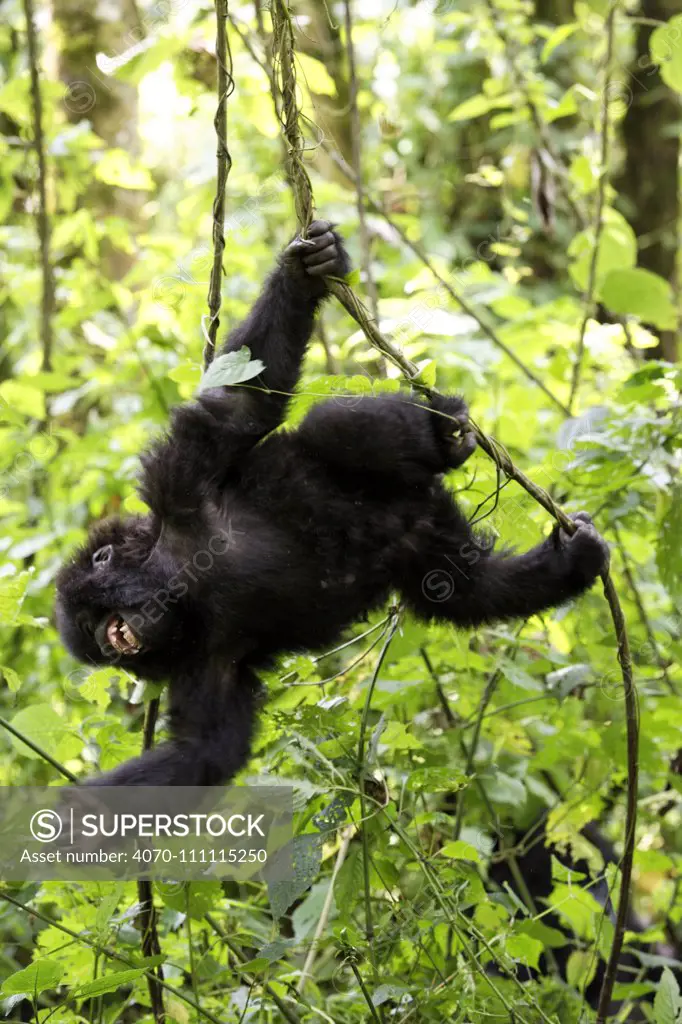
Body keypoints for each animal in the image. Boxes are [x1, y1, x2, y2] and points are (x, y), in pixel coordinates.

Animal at [54, 220, 606, 786]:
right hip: (428, 541)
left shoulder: (178, 483)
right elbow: (203, 753)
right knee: (464, 589)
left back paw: (441, 440)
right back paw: (568, 564)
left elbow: (244, 399)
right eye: (96, 645)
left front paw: (304, 272)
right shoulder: (201, 661)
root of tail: (415, 508)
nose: (109, 642)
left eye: (93, 622)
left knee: (336, 428)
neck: (178, 581)